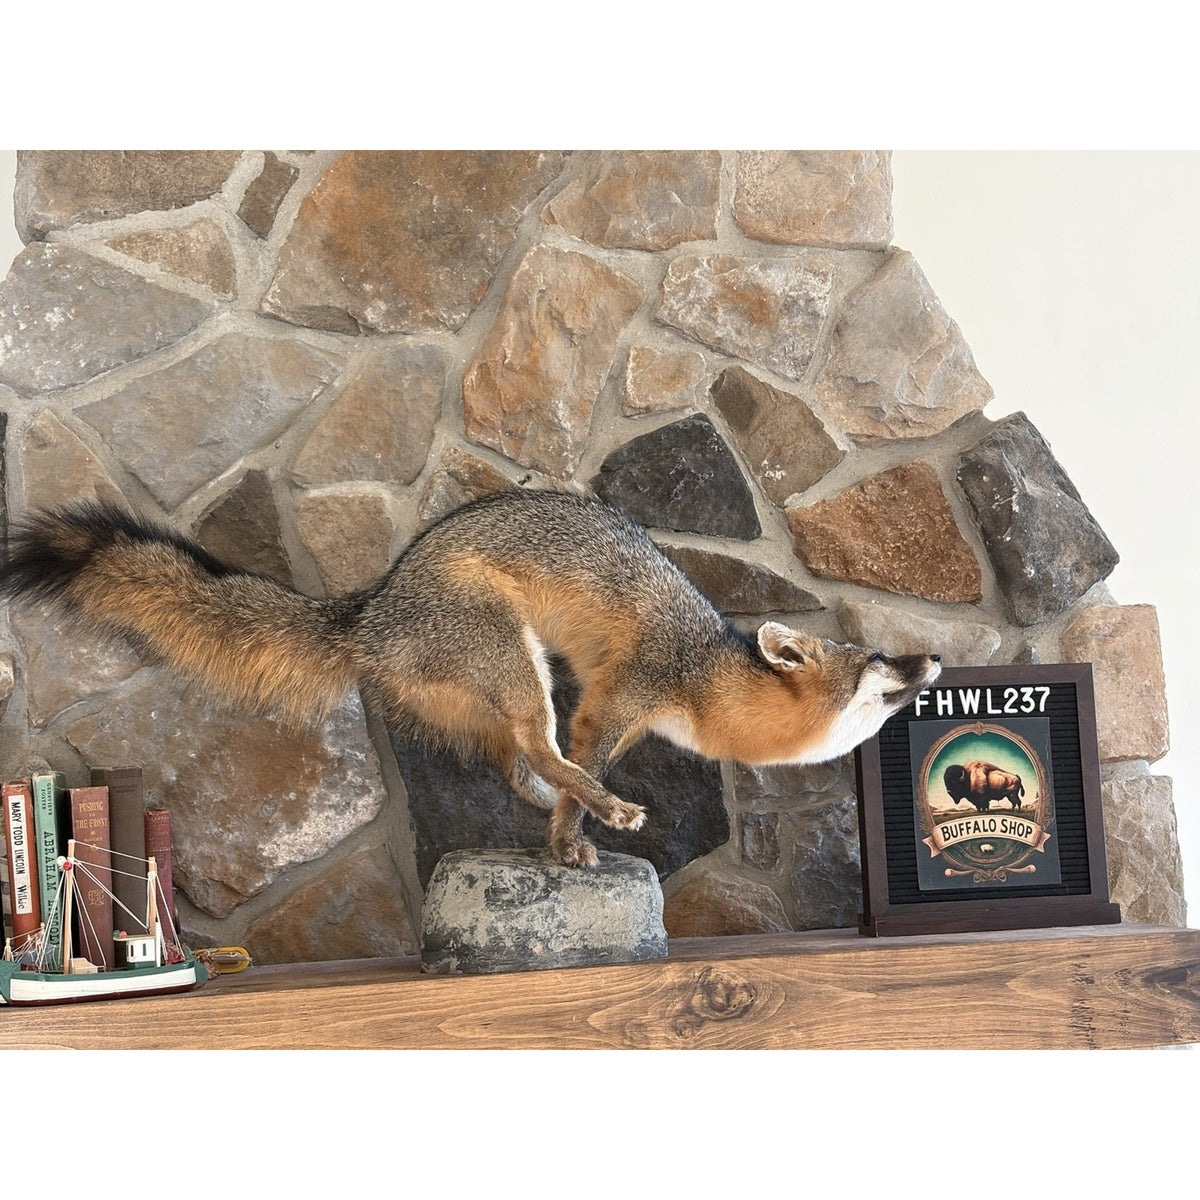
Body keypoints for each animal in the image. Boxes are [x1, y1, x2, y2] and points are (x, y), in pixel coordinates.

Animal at [0, 489, 941, 868]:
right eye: (880, 662)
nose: (933, 657)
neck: (705, 672)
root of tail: (373, 605)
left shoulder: (620, 718)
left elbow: (564, 780)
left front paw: (563, 839)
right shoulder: (611, 702)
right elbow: (581, 761)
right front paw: (583, 829)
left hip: (501, 693)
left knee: (512, 764)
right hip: (520, 662)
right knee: (536, 750)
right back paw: (601, 806)